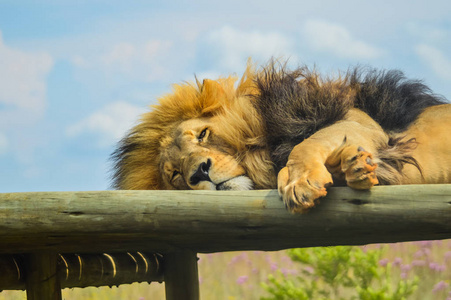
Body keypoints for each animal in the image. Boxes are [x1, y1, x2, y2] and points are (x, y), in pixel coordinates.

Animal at [112, 59, 451, 212]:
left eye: (202, 135)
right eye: (175, 175)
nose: (199, 173)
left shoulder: (360, 120)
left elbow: (305, 144)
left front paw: (300, 182)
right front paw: (354, 166)